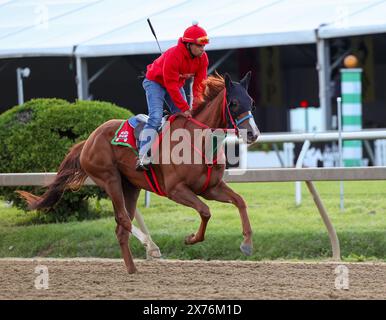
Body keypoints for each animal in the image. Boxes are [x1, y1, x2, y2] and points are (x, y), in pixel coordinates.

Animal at [18, 72, 260, 272]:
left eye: (251, 102)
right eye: (234, 102)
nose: (253, 134)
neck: (198, 140)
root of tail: (89, 140)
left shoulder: (210, 187)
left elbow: (239, 201)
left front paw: (247, 244)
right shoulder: (176, 190)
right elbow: (206, 211)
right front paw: (191, 238)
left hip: (131, 187)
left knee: (121, 227)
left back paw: (132, 268)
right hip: (110, 179)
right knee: (123, 219)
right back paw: (150, 246)